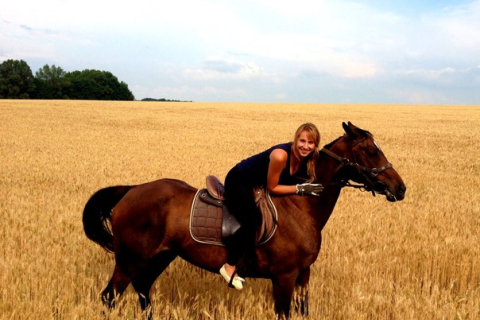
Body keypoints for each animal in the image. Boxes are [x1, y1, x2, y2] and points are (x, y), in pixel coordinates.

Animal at [82, 122, 404, 318]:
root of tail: (131, 190)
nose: (400, 188)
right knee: (109, 297)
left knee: (143, 288)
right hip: (128, 261)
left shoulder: (303, 275)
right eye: (370, 150)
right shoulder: (284, 277)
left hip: (161, 256)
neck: (301, 206)